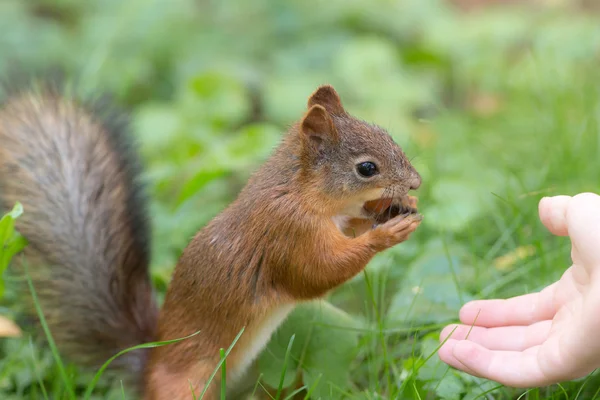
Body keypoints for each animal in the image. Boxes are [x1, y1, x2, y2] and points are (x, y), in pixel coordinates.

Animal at [0, 79, 422, 400]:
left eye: (387, 134)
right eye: (366, 168)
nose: (417, 182)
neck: (299, 192)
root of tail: (150, 364)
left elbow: (350, 228)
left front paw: (393, 208)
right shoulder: (287, 235)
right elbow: (315, 276)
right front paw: (386, 234)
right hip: (187, 385)